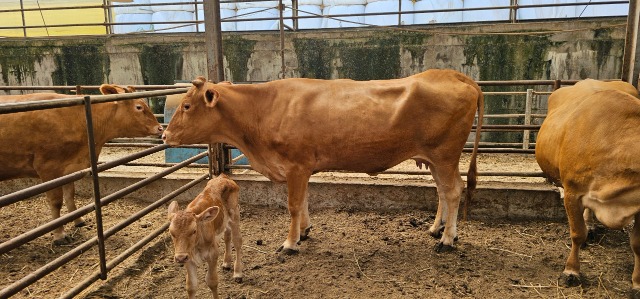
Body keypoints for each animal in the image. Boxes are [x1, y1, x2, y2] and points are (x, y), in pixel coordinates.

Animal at [0, 85, 164, 245]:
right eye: (139, 107)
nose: (160, 128)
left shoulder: (69, 168)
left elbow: (69, 195)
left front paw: (78, 220)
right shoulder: (48, 168)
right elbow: (56, 202)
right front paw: (59, 235)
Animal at [162, 70, 482, 255]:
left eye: (186, 105)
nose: (164, 134)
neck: (263, 109)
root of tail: (455, 75)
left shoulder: (295, 165)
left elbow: (293, 204)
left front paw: (290, 243)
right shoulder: (302, 168)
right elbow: (304, 200)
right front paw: (304, 232)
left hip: (444, 155)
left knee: (453, 190)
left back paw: (447, 240)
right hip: (435, 159)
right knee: (443, 191)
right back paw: (437, 229)